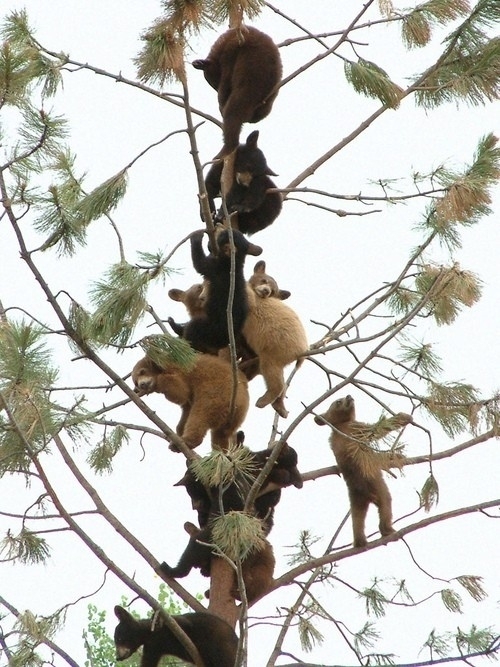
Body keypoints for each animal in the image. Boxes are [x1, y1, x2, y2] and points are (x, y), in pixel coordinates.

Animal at [193, 25, 284, 157]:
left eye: (213, 83)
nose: (215, 87)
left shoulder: (229, 53)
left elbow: (225, 82)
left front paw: (221, 103)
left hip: (249, 83)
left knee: (233, 113)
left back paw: (226, 148)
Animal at [314, 396, 412, 548]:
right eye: (338, 401)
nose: (349, 396)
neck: (339, 425)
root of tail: (366, 494)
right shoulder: (357, 428)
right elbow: (378, 429)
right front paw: (404, 417)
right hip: (379, 488)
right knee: (386, 505)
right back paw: (388, 530)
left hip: (355, 500)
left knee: (357, 519)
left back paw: (360, 542)